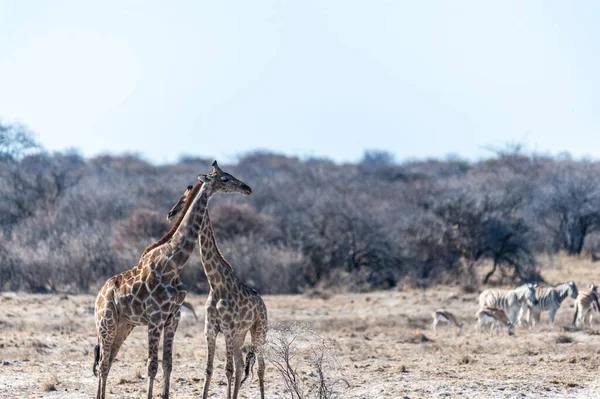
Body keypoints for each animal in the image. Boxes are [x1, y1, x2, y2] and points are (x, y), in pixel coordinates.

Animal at [92, 162, 252, 399]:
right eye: (225, 178)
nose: (247, 188)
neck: (173, 263)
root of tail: (99, 296)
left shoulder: (173, 317)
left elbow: (167, 364)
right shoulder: (155, 317)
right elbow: (152, 365)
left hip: (124, 324)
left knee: (109, 360)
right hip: (106, 322)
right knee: (103, 363)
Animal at [164, 160, 268, 399]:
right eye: (225, 178)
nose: (248, 188)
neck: (216, 283)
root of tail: (263, 303)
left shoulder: (228, 329)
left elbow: (227, 370)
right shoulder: (210, 330)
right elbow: (210, 370)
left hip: (259, 331)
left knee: (260, 367)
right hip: (240, 335)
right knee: (241, 366)